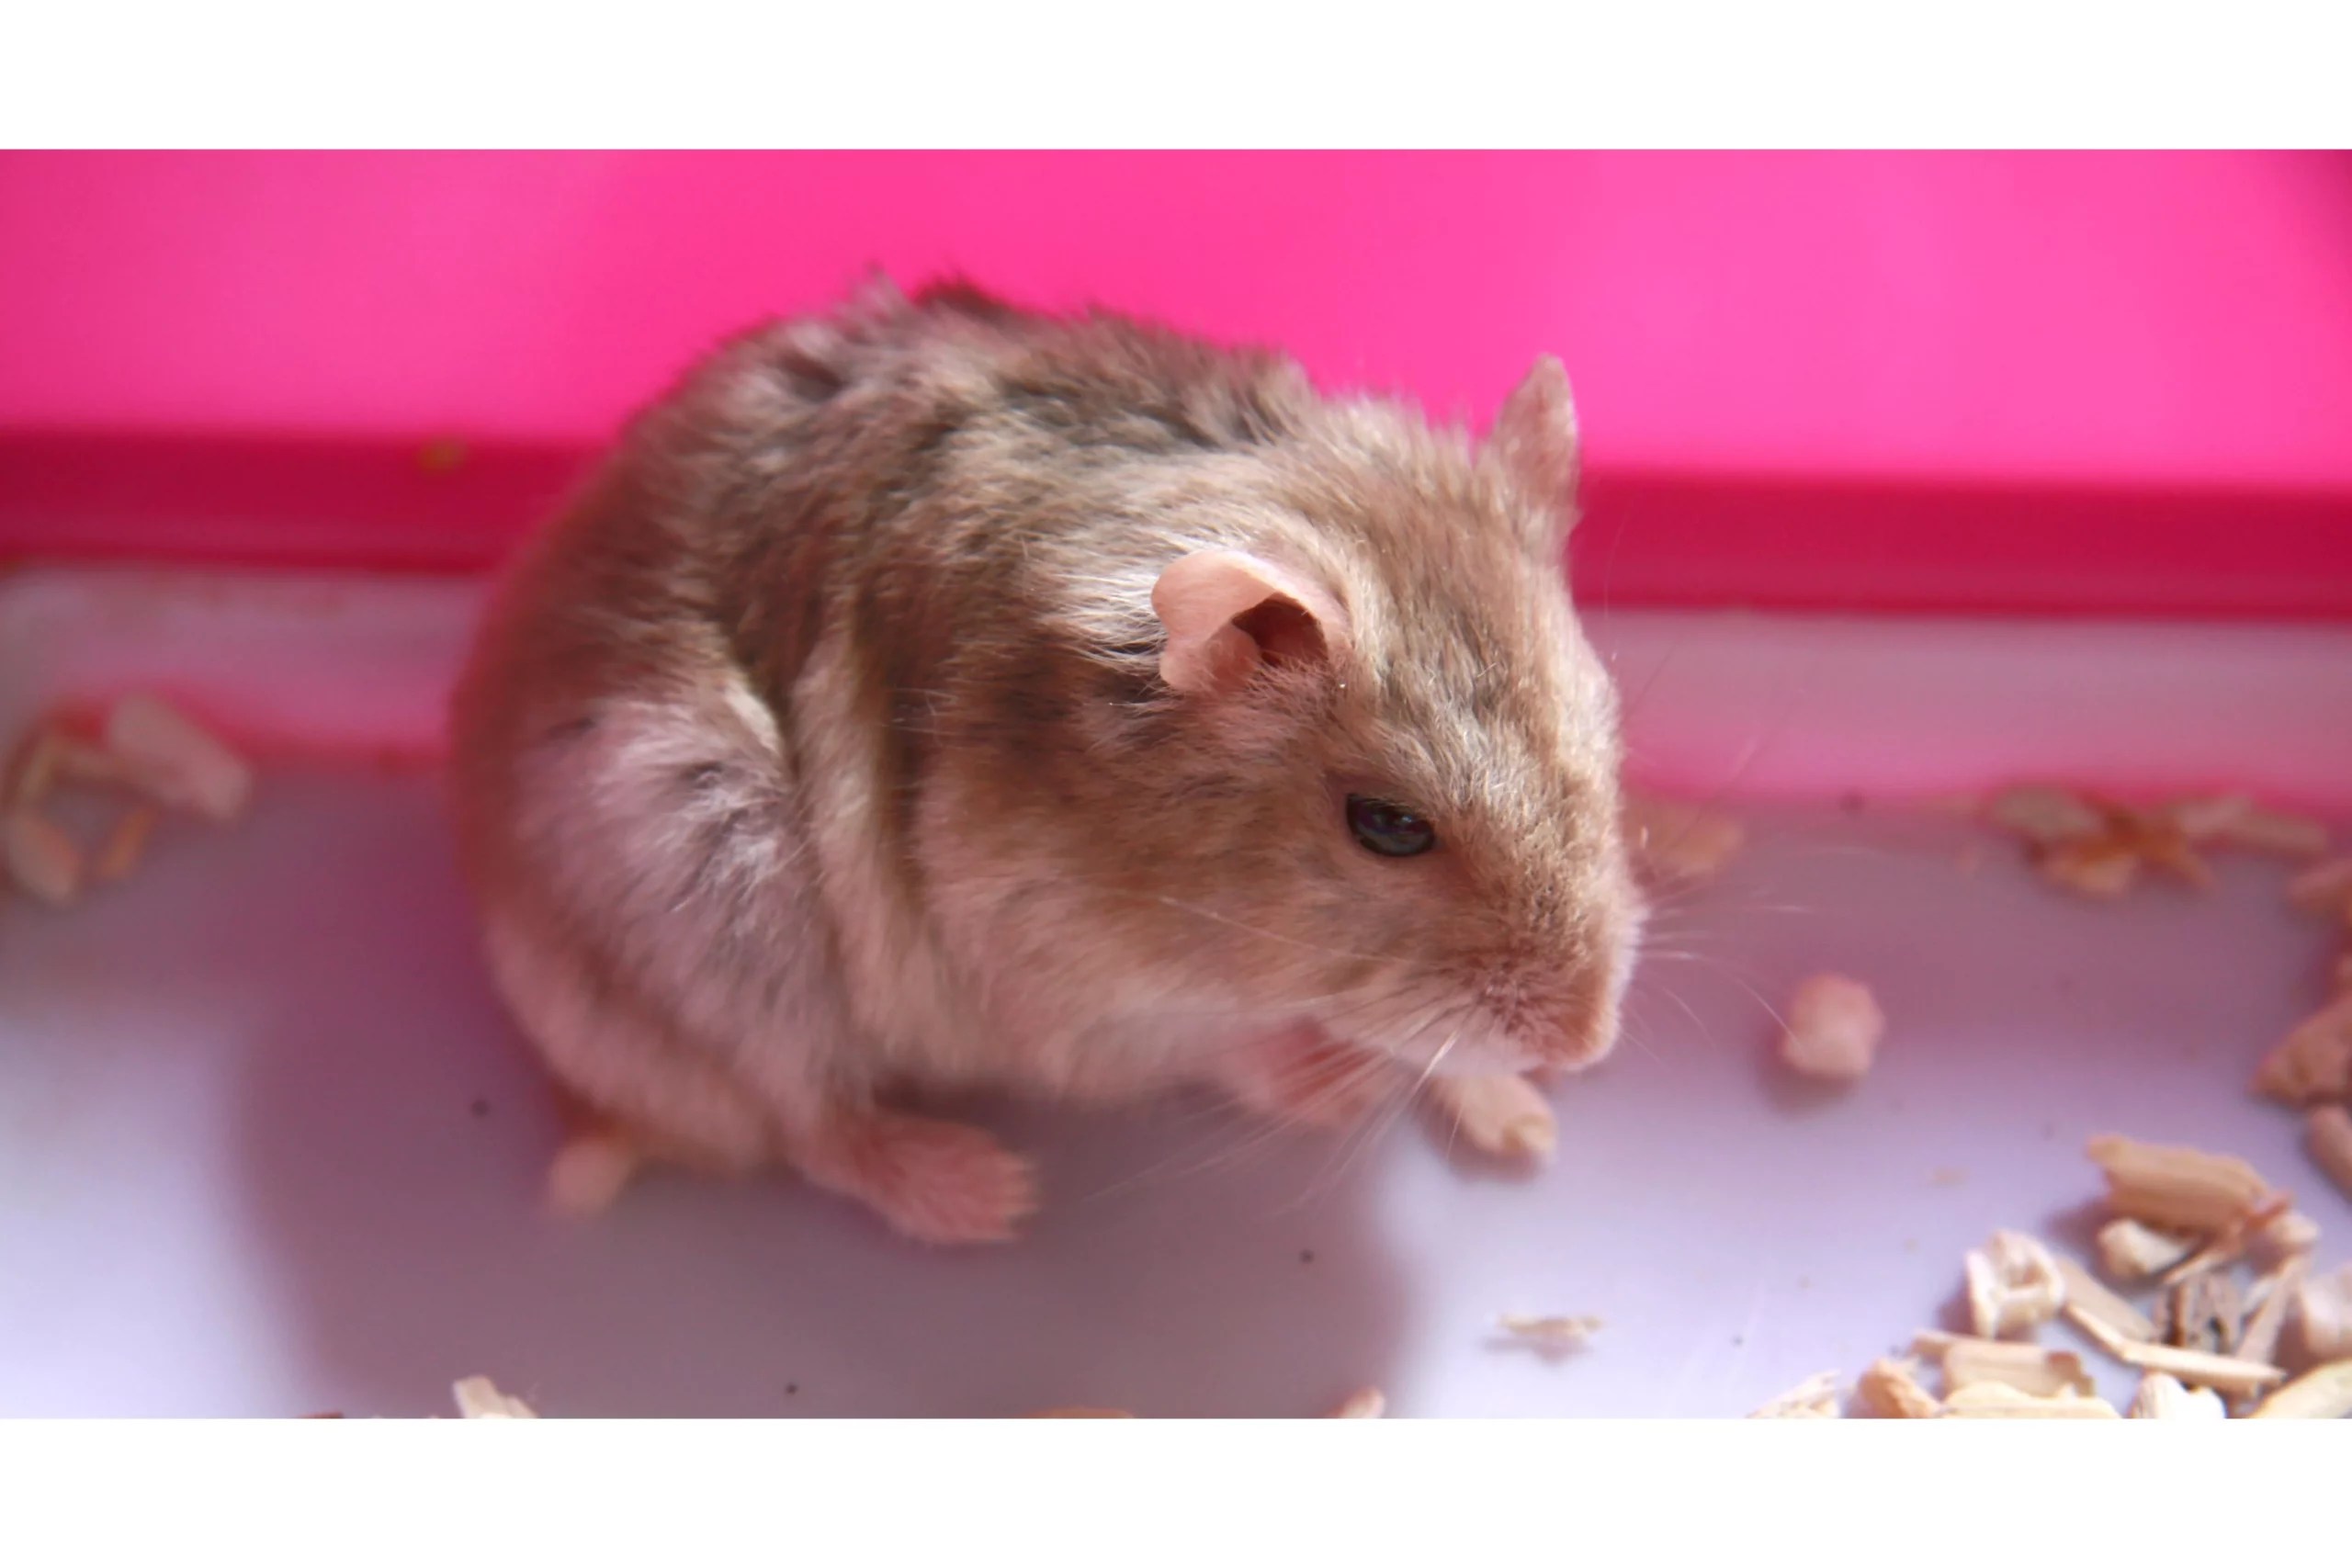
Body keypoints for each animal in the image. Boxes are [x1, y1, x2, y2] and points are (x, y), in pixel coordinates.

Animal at [447, 278, 1642, 1243]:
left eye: (1604, 722)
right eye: (1388, 826)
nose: (1587, 1046)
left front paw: (1518, 1113)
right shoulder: (1050, 985)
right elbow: (1214, 1051)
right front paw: (1341, 1081)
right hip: (702, 903)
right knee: (799, 1114)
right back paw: (981, 1193)